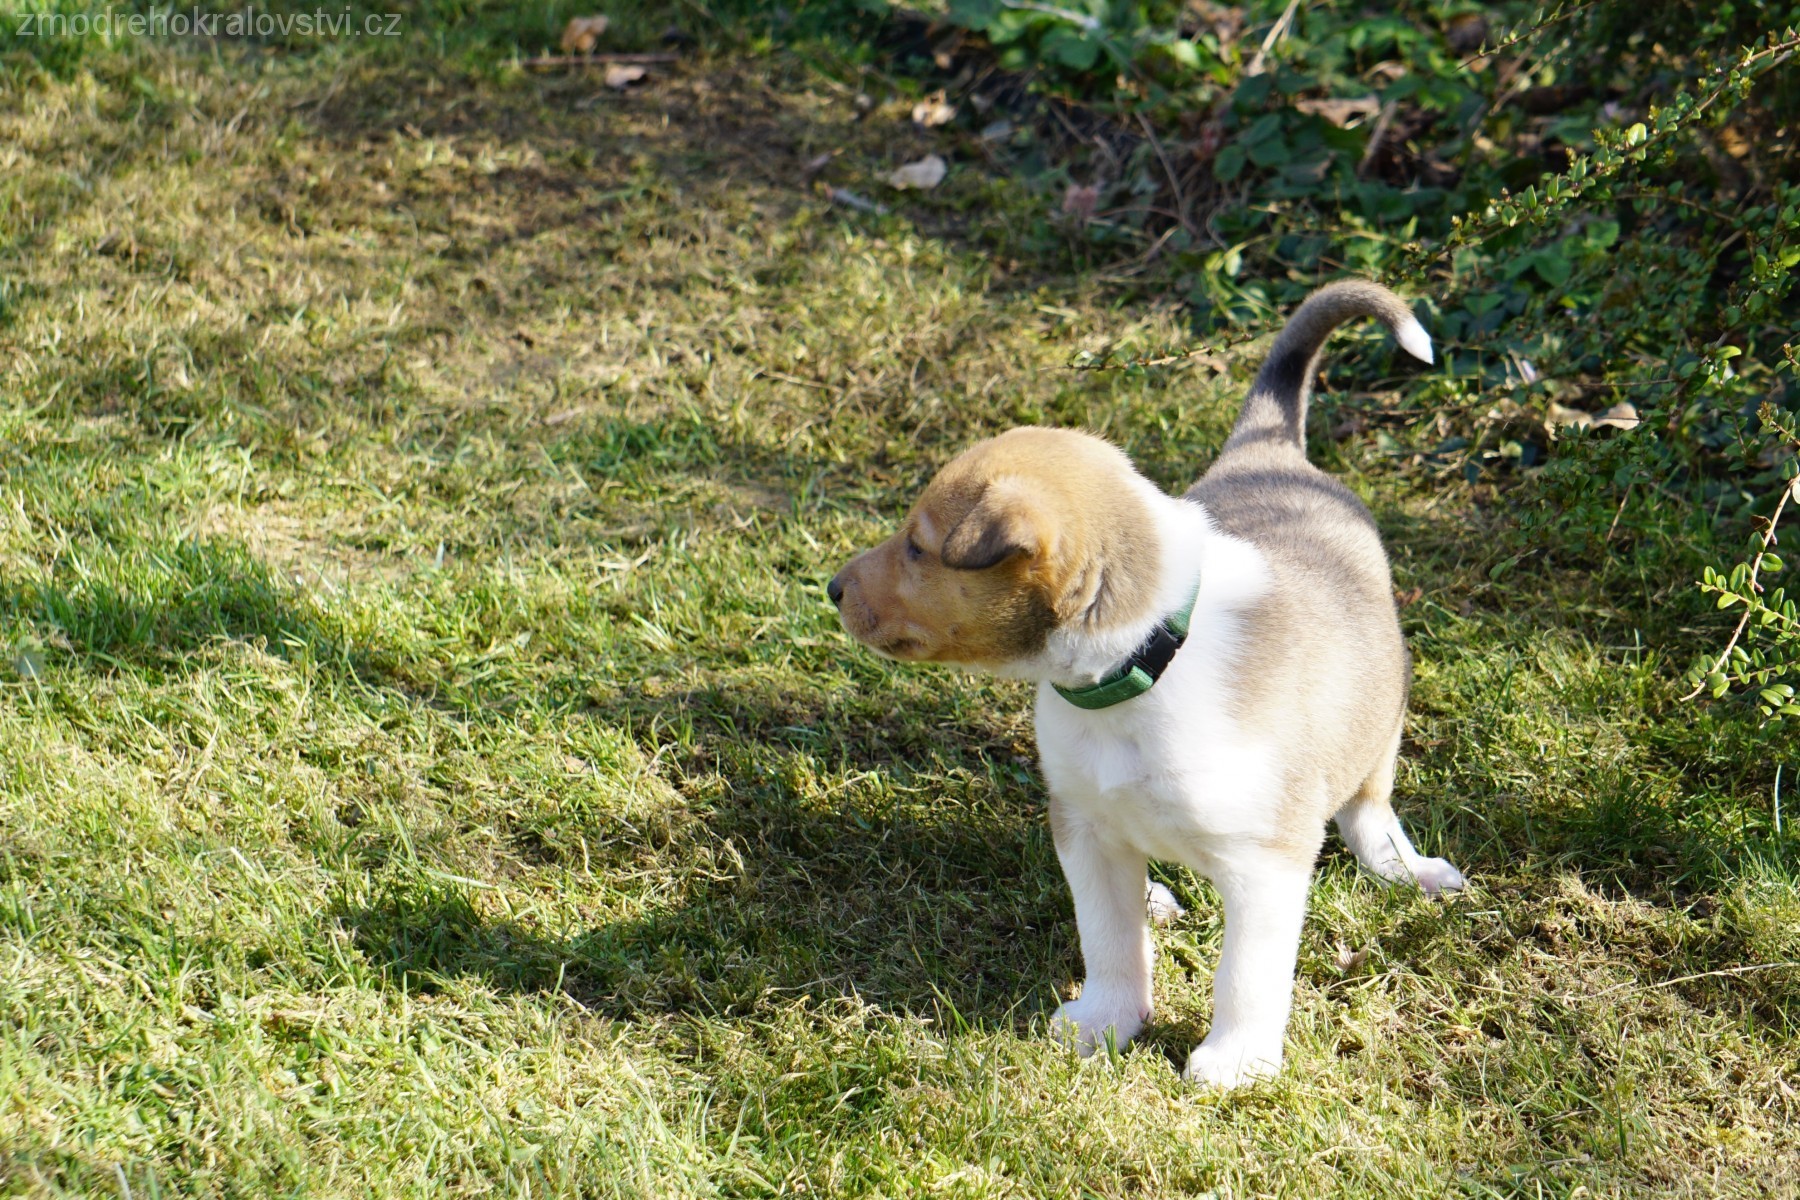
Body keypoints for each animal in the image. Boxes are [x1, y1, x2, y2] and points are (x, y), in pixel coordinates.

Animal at [828, 280, 1465, 1088]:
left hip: (1382, 716)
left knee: (1369, 808)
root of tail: (1270, 449)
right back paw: (1159, 898)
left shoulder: (1267, 860)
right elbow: (1106, 936)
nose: (831, 589)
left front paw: (1234, 1065)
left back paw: (1407, 870)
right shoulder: (1084, 827)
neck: (1138, 674)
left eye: (917, 546)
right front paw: (1105, 1022)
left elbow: (1246, 974)